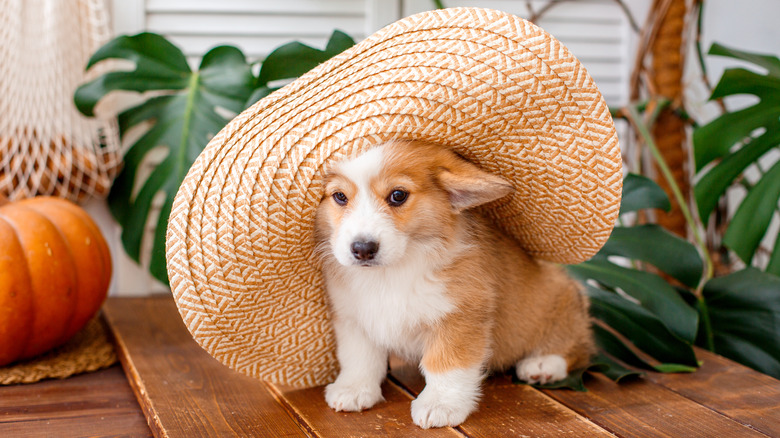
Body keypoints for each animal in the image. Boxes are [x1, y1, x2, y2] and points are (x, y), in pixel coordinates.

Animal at [314, 140, 596, 428]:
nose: (362, 249)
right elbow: (359, 358)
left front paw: (440, 404)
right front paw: (354, 389)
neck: (391, 272)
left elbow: (445, 365)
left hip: (560, 299)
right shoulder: (352, 317)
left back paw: (543, 365)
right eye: (340, 197)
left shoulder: (460, 317)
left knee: (580, 346)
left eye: (398, 195)